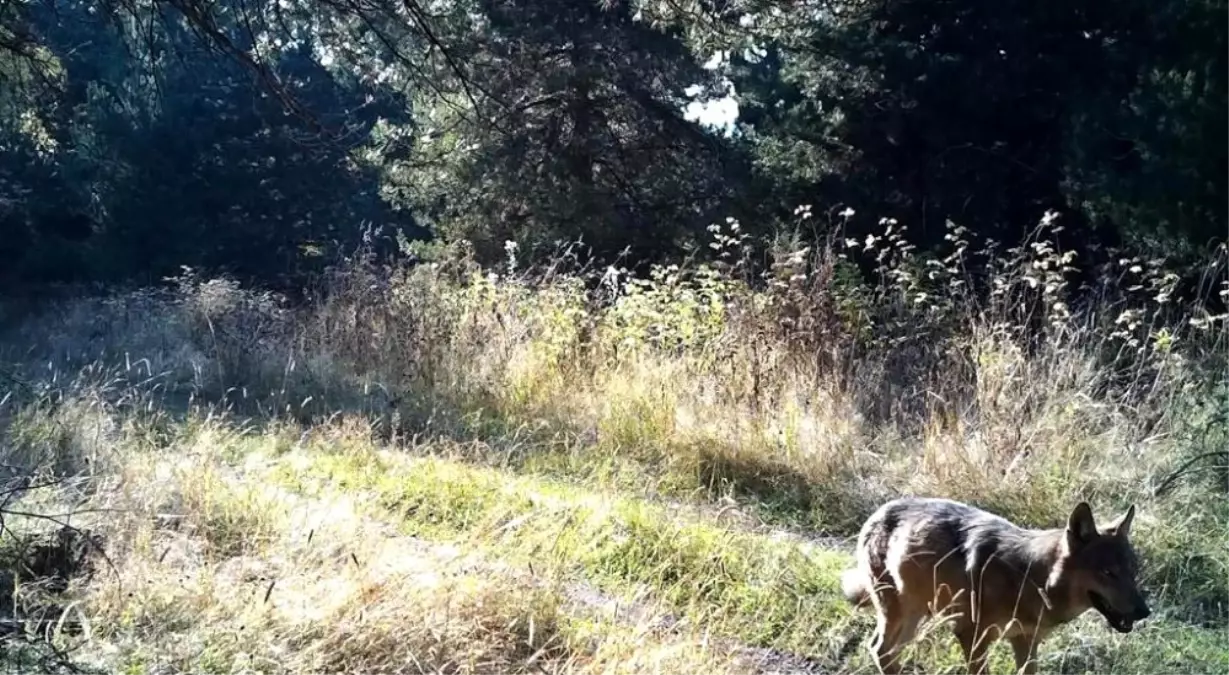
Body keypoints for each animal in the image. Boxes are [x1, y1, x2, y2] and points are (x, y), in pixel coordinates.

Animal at [840, 494, 1145, 673]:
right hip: (899, 612)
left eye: (1133, 571)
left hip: (916, 616)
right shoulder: (971, 636)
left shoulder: (1026, 642)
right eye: (1107, 572)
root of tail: (877, 513)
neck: (1029, 579)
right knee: (879, 648)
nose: (1145, 611)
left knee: (884, 650)